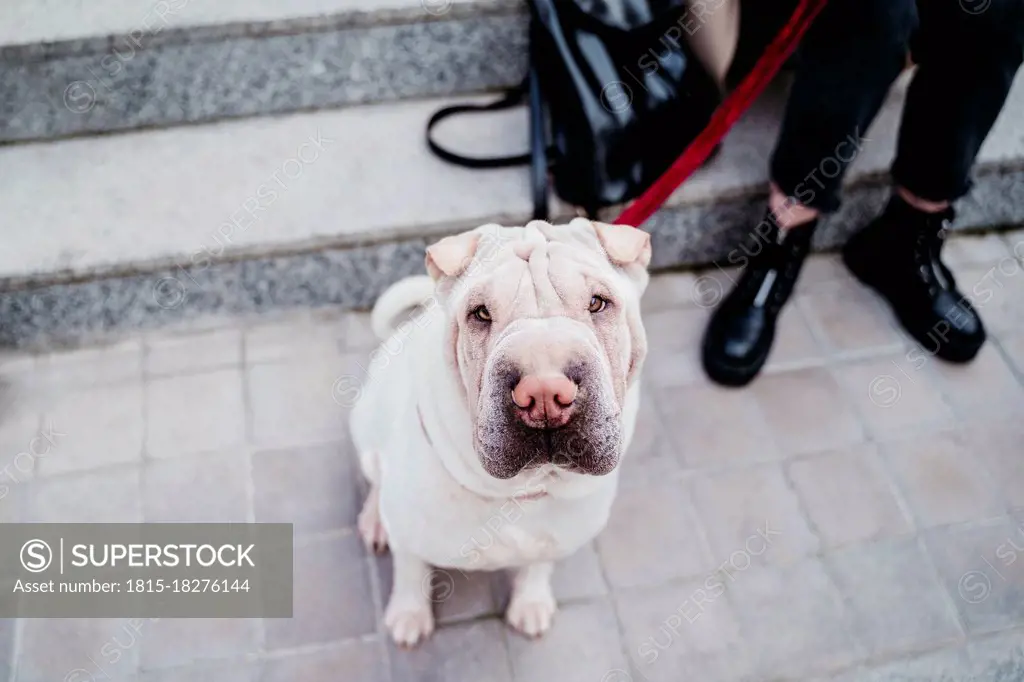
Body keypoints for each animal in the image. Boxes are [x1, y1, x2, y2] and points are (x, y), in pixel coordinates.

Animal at [350, 216, 647, 643]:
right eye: (480, 313)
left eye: (597, 303)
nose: (543, 392)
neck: (520, 492)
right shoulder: (409, 534)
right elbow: (410, 572)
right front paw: (409, 614)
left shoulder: (557, 538)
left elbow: (538, 566)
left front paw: (530, 603)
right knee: (375, 475)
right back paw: (375, 519)